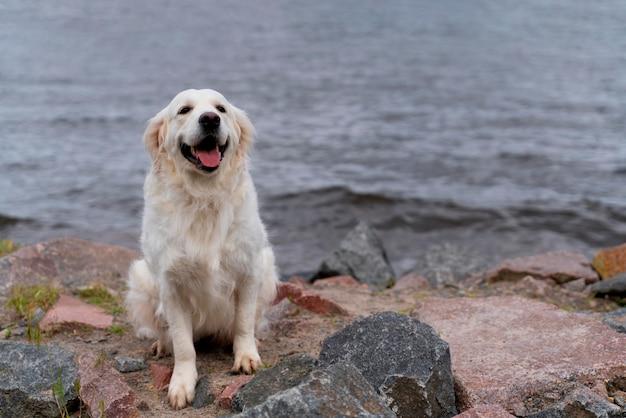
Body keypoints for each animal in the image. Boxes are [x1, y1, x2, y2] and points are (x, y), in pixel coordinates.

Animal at [124, 89, 276, 408]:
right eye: (184, 110)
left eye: (221, 108)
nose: (210, 119)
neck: (203, 196)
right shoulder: (171, 286)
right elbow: (184, 344)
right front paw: (181, 383)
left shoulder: (249, 270)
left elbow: (244, 322)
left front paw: (246, 356)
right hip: (141, 276)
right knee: (166, 332)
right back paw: (161, 345)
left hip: (268, 266)